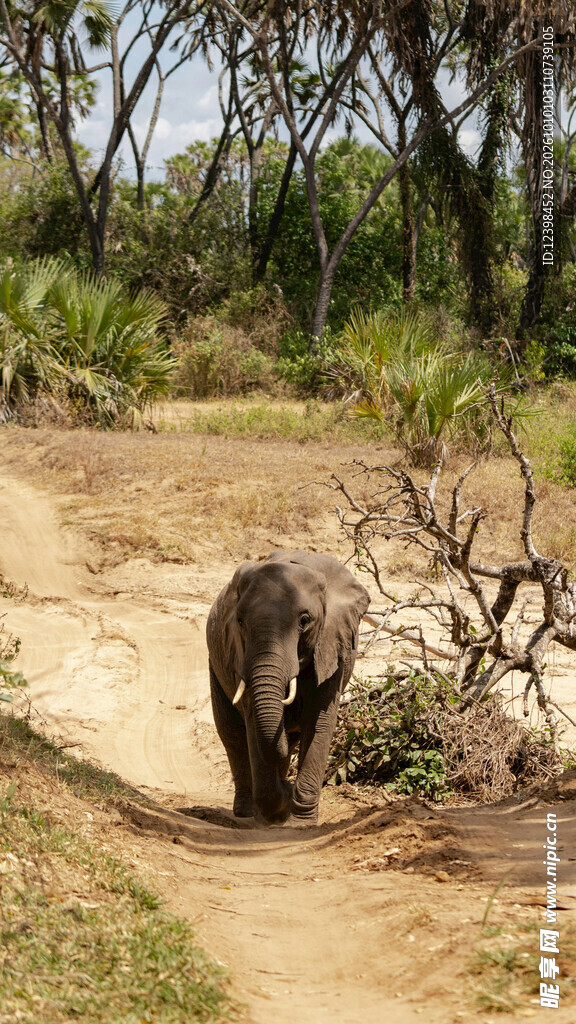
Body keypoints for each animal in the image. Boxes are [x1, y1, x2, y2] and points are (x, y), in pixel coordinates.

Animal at [206, 550, 370, 826]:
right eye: (240, 621)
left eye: (305, 621)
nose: (288, 785)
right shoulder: (240, 656)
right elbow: (254, 727)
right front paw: (278, 808)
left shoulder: (332, 646)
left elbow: (319, 724)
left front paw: (300, 822)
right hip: (214, 664)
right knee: (233, 735)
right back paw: (246, 812)